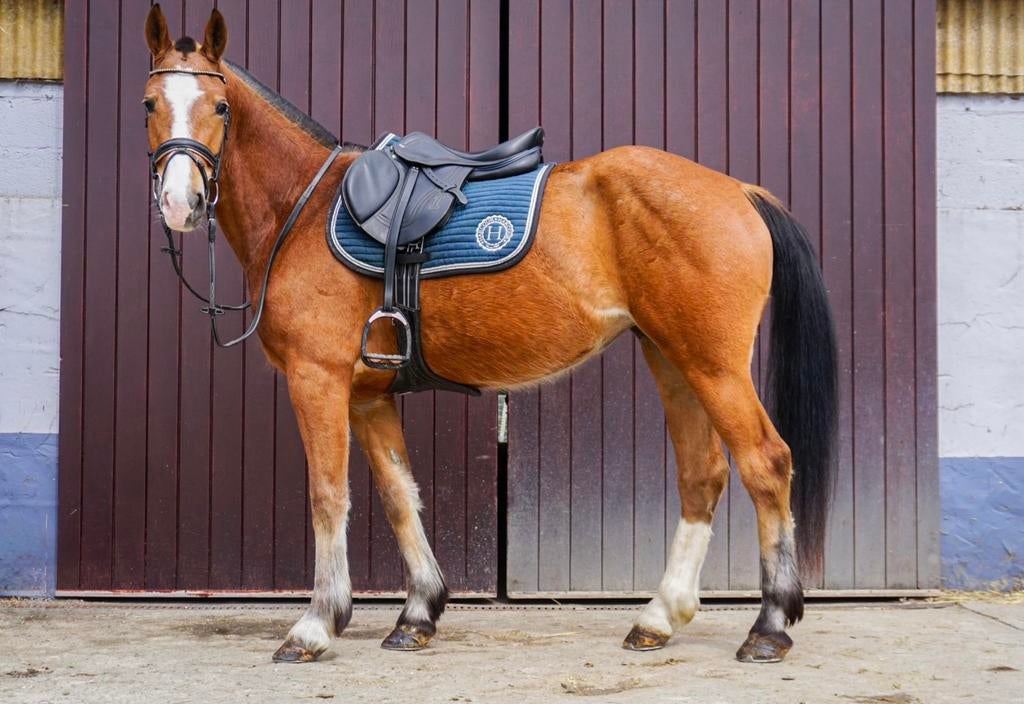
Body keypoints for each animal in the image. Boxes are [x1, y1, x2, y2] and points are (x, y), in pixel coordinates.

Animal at [142, 5, 837, 665]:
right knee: (703, 474)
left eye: (221, 106)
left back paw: (770, 626)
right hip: (672, 358)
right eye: (150, 103)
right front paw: (418, 613)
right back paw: (659, 618)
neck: (303, 210)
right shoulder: (368, 396)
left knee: (766, 464)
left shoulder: (320, 381)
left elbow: (328, 495)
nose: (180, 202)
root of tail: (739, 191)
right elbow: (400, 495)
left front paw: (316, 625)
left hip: (714, 367)